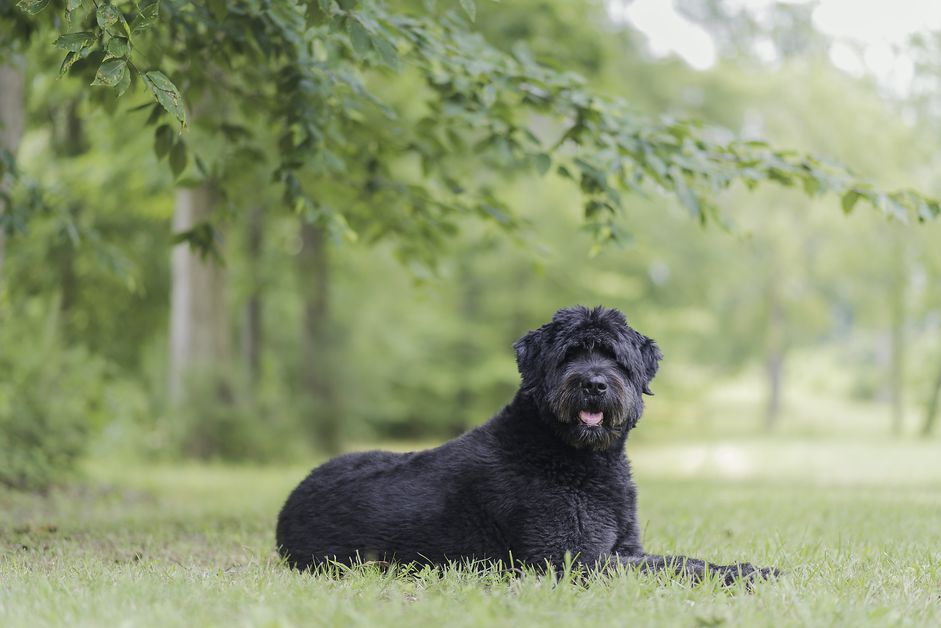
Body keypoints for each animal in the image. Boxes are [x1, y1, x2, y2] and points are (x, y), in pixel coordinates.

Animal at [276, 306, 776, 584]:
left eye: (614, 357)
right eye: (570, 354)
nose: (594, 384)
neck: (571, 456)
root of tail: (288, 504)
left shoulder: (623, 549)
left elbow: (681, 559)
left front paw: (745, 569)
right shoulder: (575, 560)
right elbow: (673, 566)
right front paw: (746, 574)